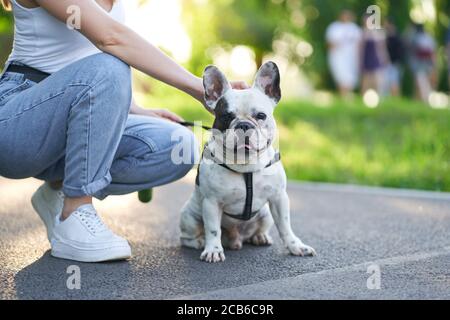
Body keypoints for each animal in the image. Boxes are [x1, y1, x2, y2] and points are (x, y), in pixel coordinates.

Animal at [180, 62, 316, 262]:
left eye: (261, 115)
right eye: (226, 117)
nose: (244, 125)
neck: (246, 164)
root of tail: (235, 239)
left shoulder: (279, 198)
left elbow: (285, 226)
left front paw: (295, 246)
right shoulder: (211, 203)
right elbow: (212, 229)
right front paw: (213, 250)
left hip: (266, 214)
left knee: (259, 229)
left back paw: (260, 237)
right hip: (188, 216)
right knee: (188, 237)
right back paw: (199, 242)